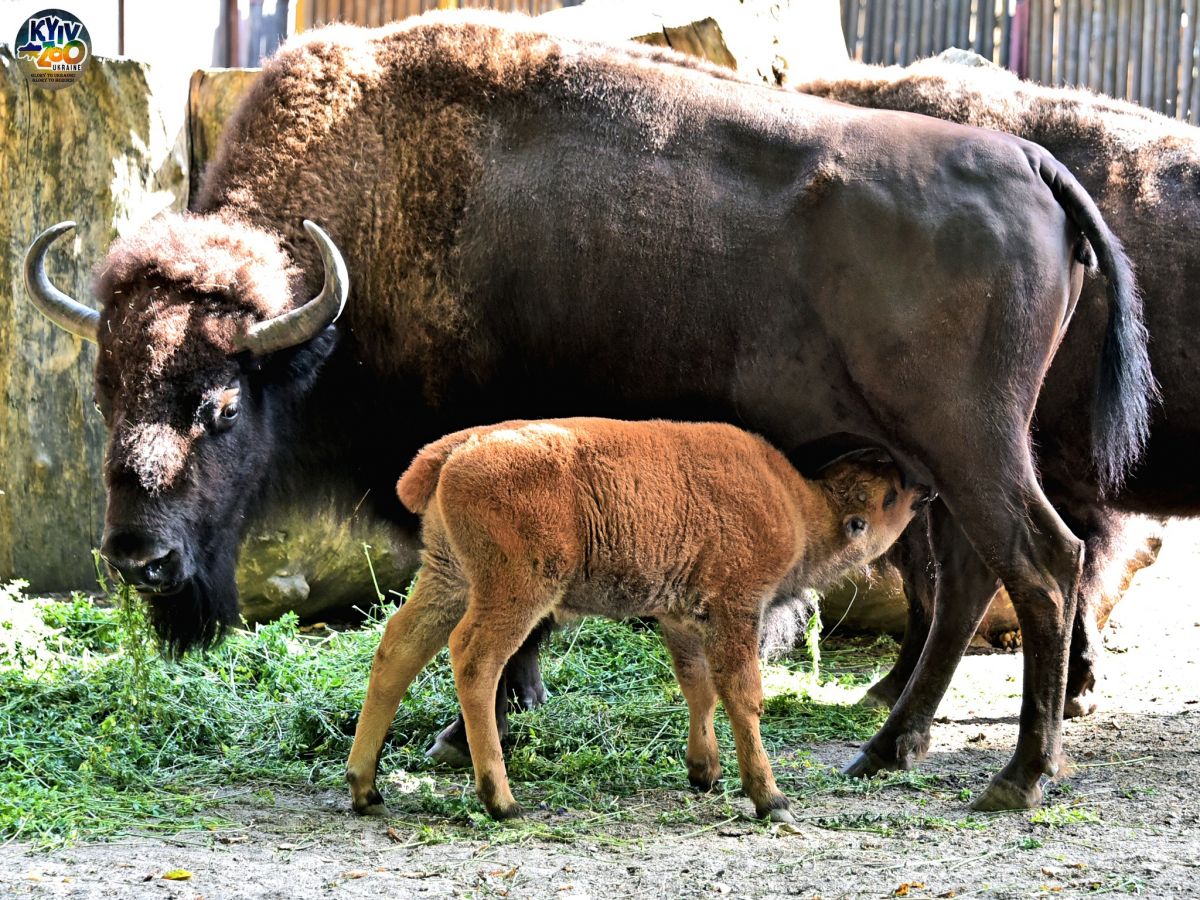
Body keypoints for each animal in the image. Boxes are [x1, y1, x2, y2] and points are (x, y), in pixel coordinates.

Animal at [343, 420, 921, 820]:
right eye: (888, 498)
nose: (919, 489)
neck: (801, 507)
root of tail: (455, 451)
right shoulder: (735, 610)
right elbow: (742, 695)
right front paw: (770, 797)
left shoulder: (681, 619)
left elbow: (697, 688)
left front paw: (704, 772)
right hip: (513, 591)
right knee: (475, 660)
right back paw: (501, 801)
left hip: (448, 578)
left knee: (398, 648)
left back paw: (366, 788)